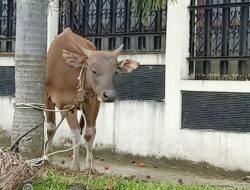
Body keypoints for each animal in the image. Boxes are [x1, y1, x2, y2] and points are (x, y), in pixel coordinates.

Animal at [44, 27, 139, 171]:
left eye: (115, 72)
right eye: (94, 70)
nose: (109, 95)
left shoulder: (91, 103)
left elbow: (87, 134)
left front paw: (87, 166)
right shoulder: (53, 100)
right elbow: (53, 129)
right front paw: (49, 158)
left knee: (92, 130)